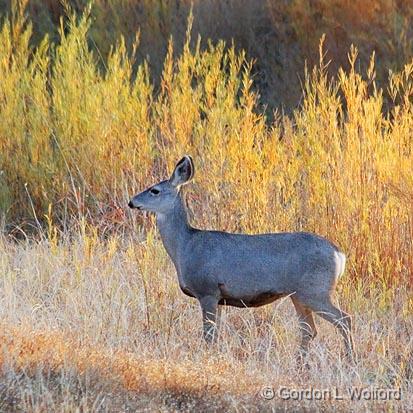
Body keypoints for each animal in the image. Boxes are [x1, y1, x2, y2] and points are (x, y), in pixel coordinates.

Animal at [129, 156, 354, 362]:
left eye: (154, 190)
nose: (131, 202)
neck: (186, 247)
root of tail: (339, 254)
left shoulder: (207, 290)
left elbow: (209, 335)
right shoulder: (218, 297)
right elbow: (215, 334)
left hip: (315, 290)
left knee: (344, 319)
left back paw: (349, 359)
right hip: (298, 294)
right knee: (309, 330)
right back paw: (300, 364)